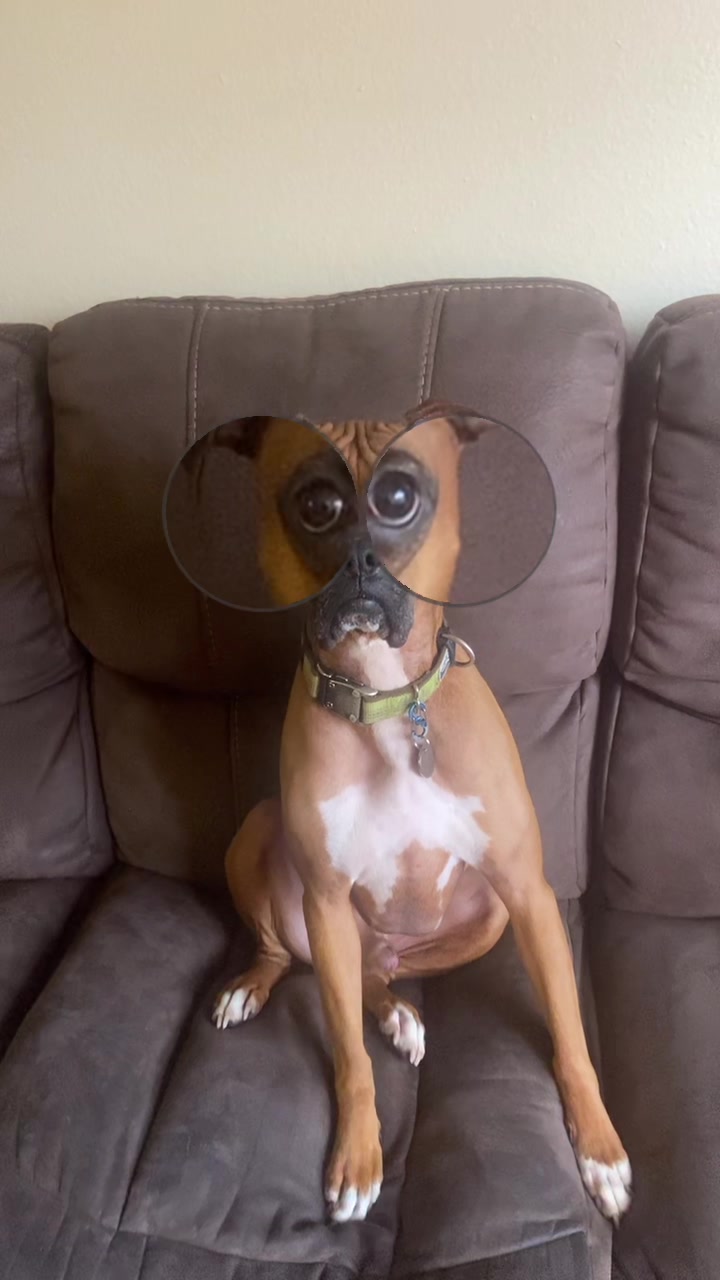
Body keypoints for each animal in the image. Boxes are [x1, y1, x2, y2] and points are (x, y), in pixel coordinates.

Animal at [207, 405, 632, 1226]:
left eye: (400, 498)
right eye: (315, 505)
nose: (360, 558)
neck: (384, 700)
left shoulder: (529, 895)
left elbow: (570, 1036)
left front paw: (597, 1148)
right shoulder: (328, 901)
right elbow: (349, 1058)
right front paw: (358, 1157)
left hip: (485, 918)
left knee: (380, 974)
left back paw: (397, 1012)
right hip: (265, 847)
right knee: (300, 960)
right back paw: (257, 987)